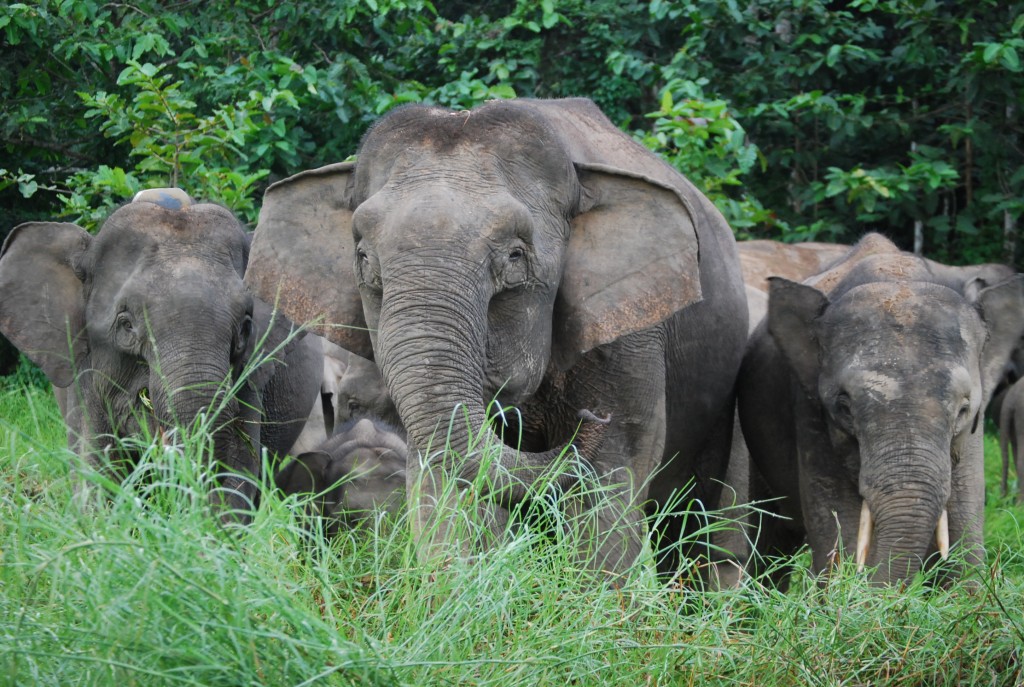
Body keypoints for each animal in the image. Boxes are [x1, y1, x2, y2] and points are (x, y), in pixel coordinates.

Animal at [738, 233, 1024, 584]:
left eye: (963, 409)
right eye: (844, 406)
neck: (896, 275)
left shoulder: (973, 431)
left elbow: (965, 527)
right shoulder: (808, 410)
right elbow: (839, 520)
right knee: (770, 537)